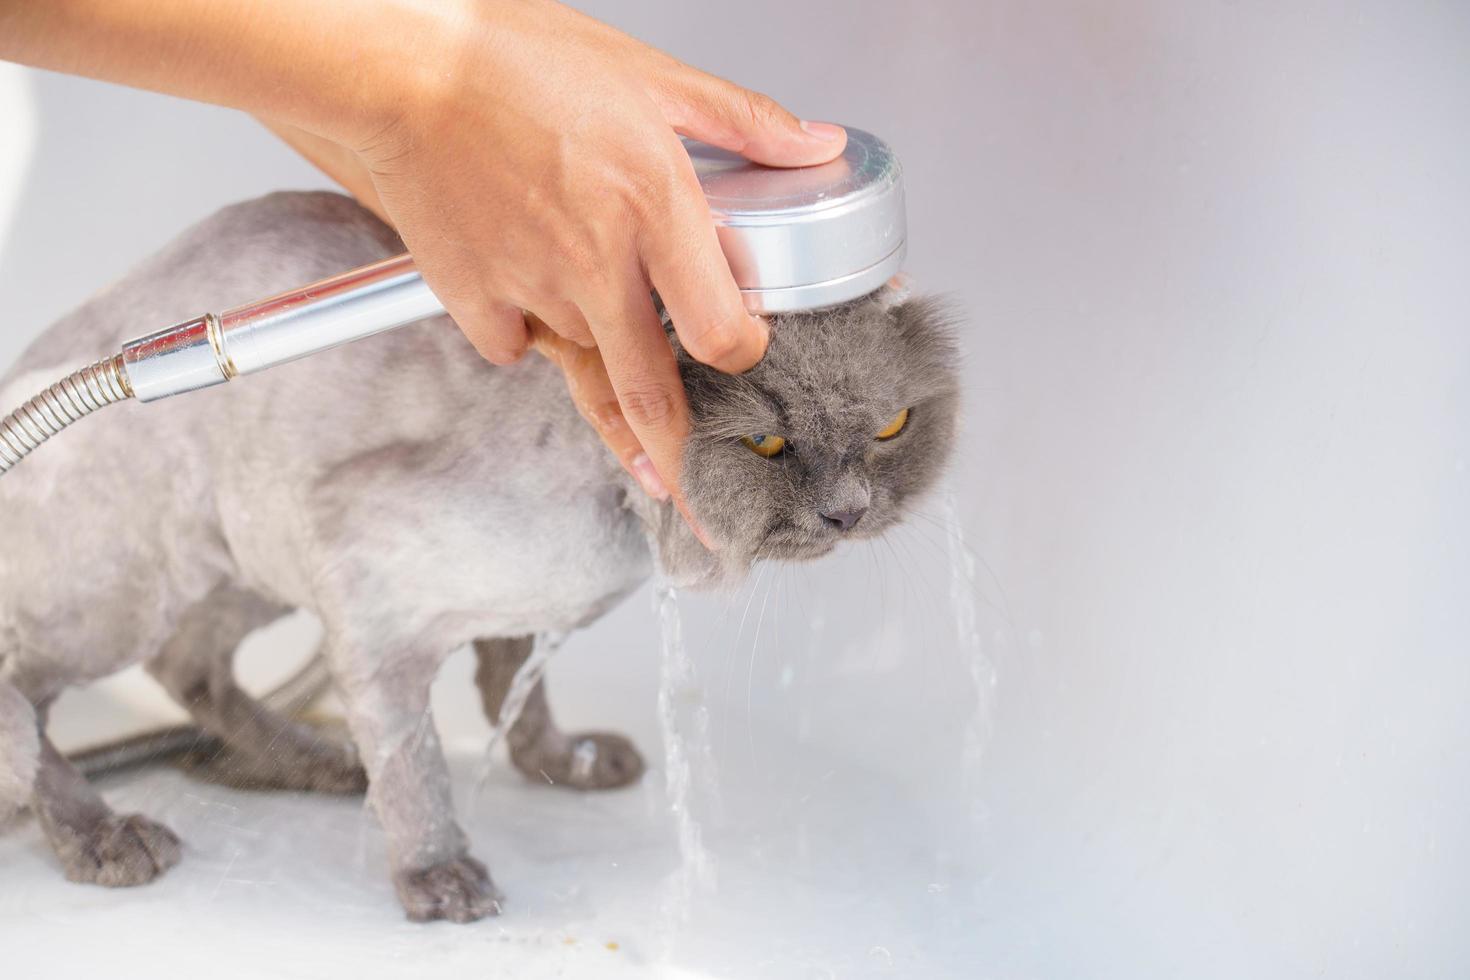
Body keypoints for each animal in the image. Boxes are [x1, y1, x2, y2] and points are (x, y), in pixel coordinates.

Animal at [0, 189, 964, 922]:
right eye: (767, 443)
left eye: (891, 427)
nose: (848, 511)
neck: (628, 524)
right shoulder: (369, 596)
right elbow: (417, 764)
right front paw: (440, 878)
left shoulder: (511, 611)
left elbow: (514, 694)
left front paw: (569, 764)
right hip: (138, 582)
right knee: (30, 694)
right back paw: (104, 833)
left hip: (251, 559)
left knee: (190, 667)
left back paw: (301, 761)